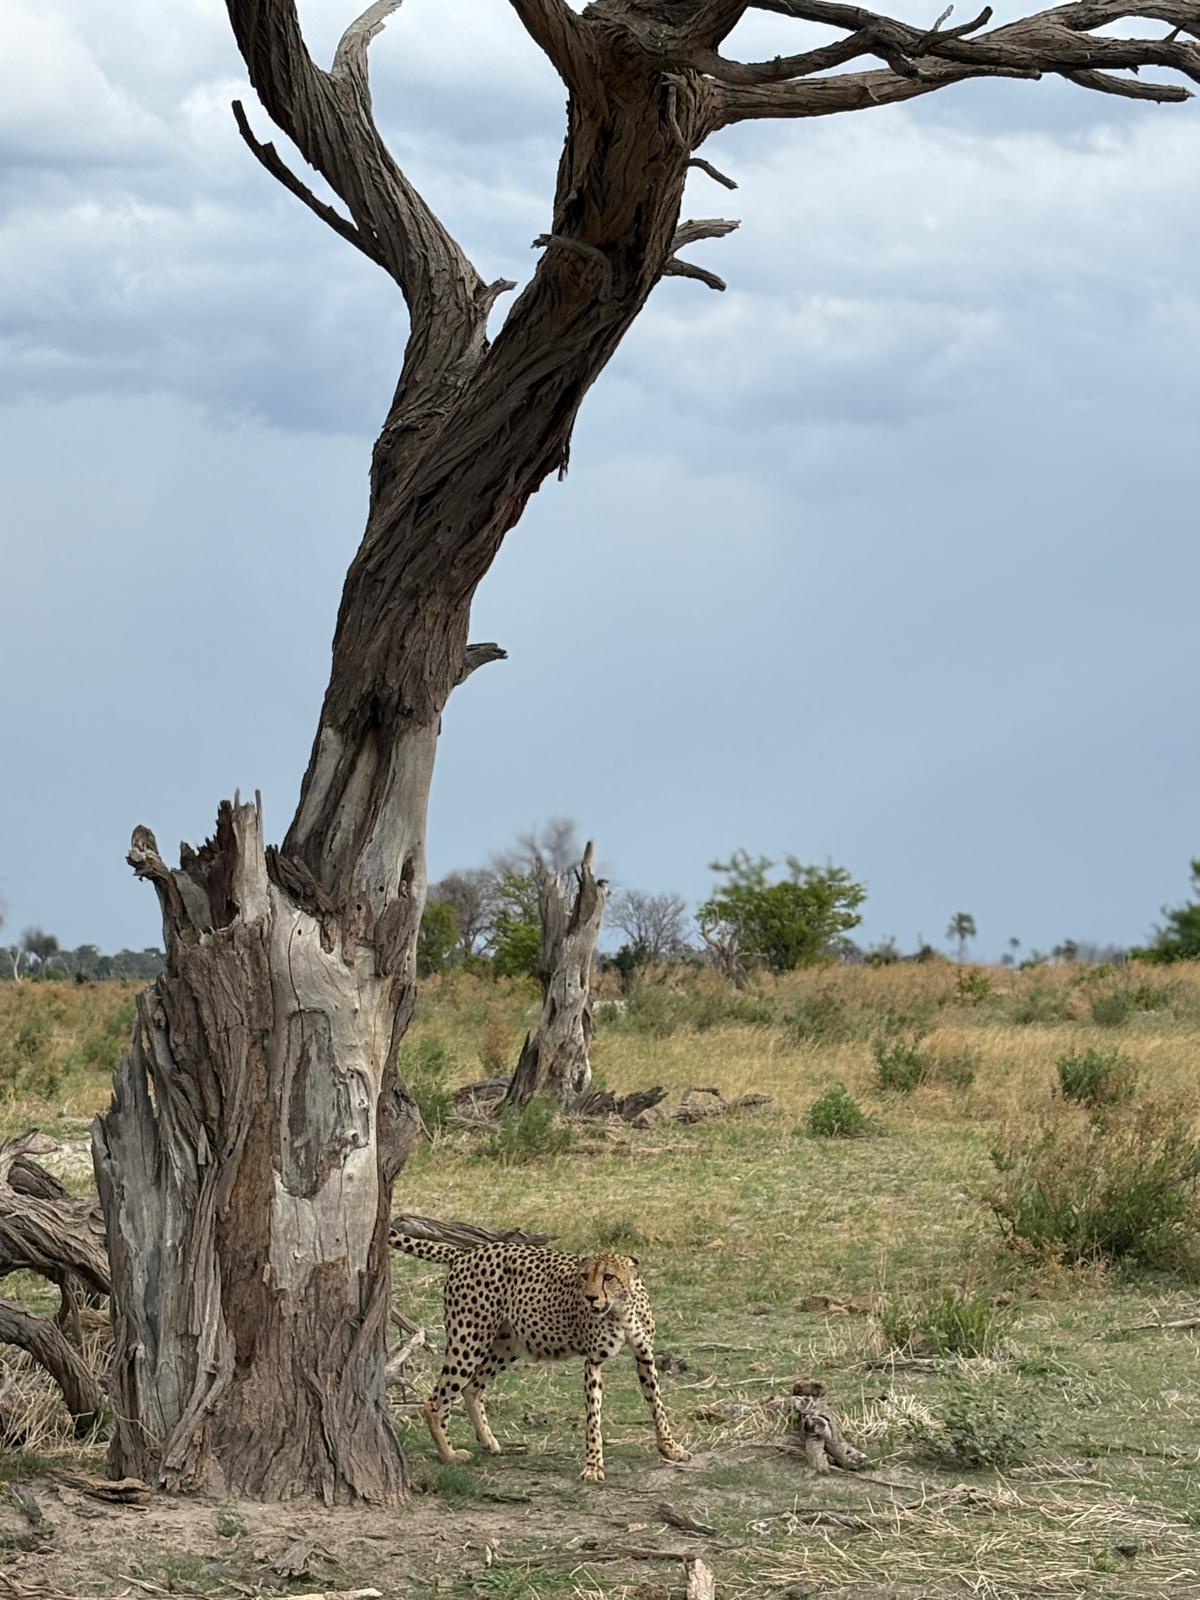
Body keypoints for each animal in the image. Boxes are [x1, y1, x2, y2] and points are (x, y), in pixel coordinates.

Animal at [390, 1230, 690, 1482]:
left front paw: (670, 1448)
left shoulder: (645, 1354)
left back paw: (487, 1441)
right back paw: (449, 1455)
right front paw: (593, 1465)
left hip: (507, 1345)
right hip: (469, 1339)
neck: (621, 1308)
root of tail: (469, 1251)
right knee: (435, 1401)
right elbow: (593, 1417)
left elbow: (657, 1404)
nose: (591, 1298)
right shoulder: (593, 1361)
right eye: (585, 1276)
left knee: (472, 1387)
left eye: (608, 1277)